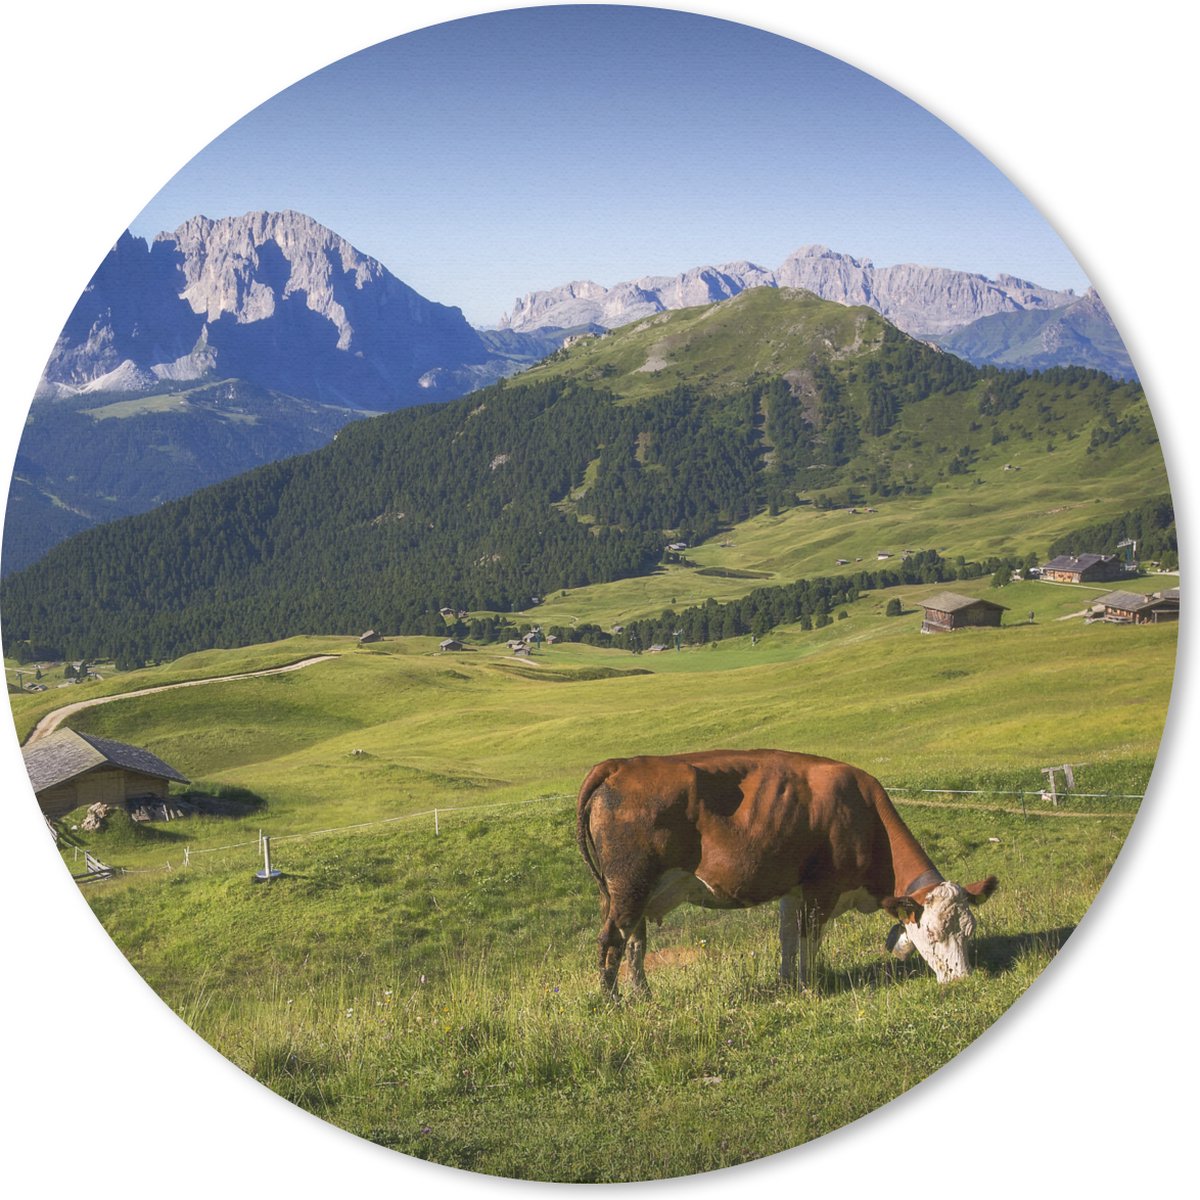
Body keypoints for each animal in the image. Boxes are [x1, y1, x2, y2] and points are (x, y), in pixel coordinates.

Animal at [576, 749, 998, 997]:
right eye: (933, 933)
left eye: (969, 931)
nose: (963, 979)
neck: (864, 811)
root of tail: (621, 764)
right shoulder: (822, 888)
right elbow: (810, 939)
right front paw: (810, 987)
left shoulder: (793, 888)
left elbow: (787, 937)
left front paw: (786, 982)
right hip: (631, 885)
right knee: (611, 942)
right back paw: (614, 1003)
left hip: (624, 892)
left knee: (634, 943)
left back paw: (642, 995)